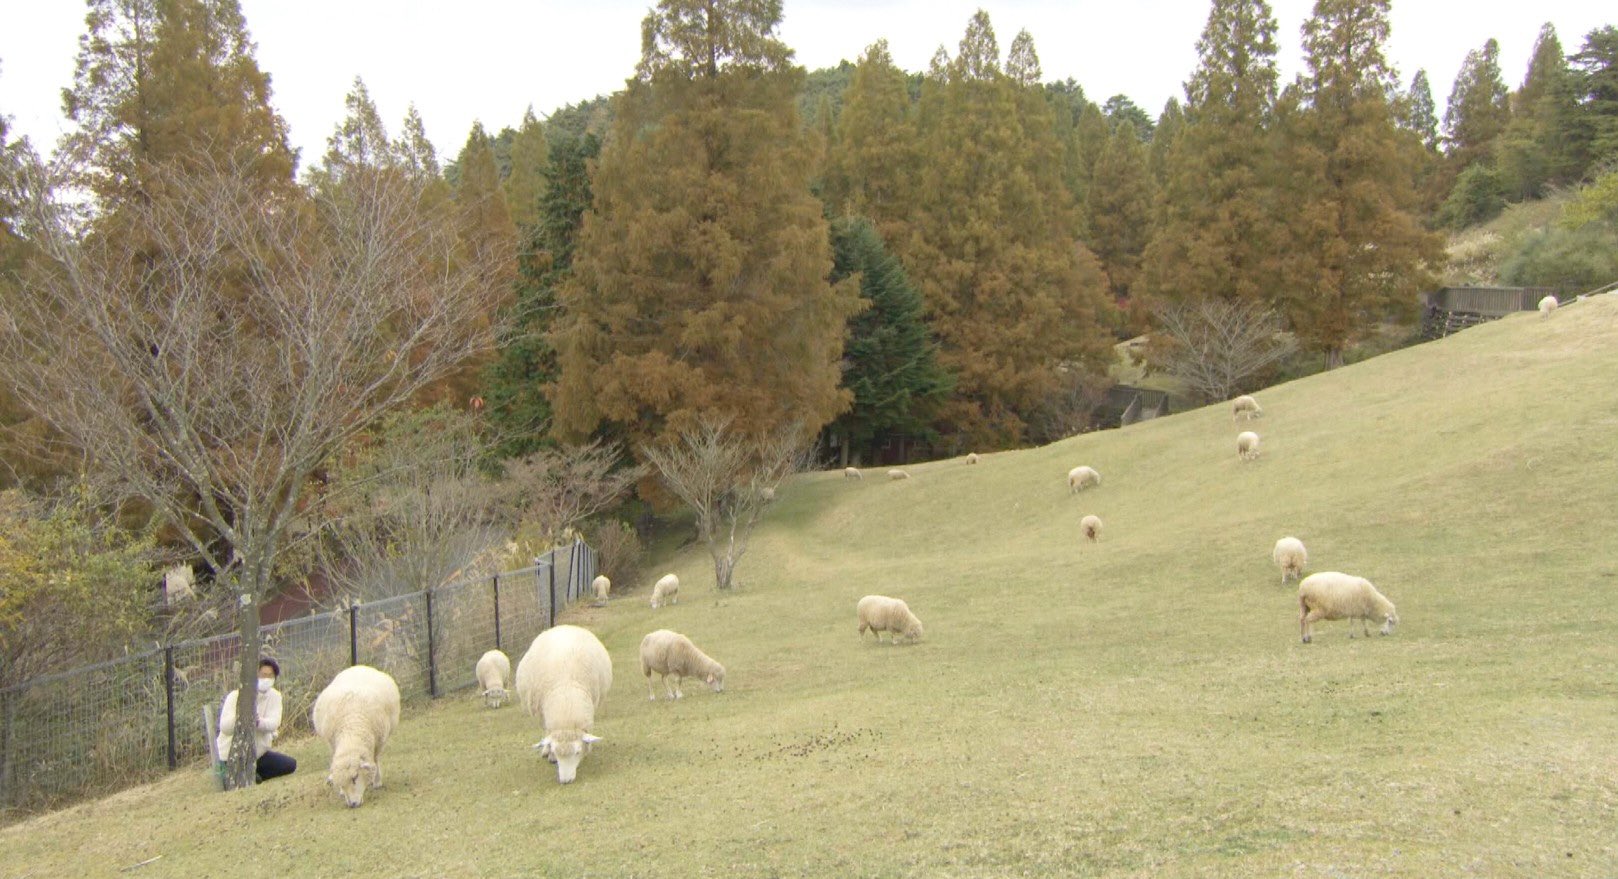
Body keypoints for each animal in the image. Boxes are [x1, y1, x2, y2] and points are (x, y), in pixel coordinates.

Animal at [311, 665, 401, 808]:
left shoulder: (379, 742)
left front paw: (377, 781)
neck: (351, 731)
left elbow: (374, 761)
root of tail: (358, 666)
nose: (352, 804)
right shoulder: (333, 744)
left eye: (355, 778)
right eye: (341, 784)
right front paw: (341, 792)